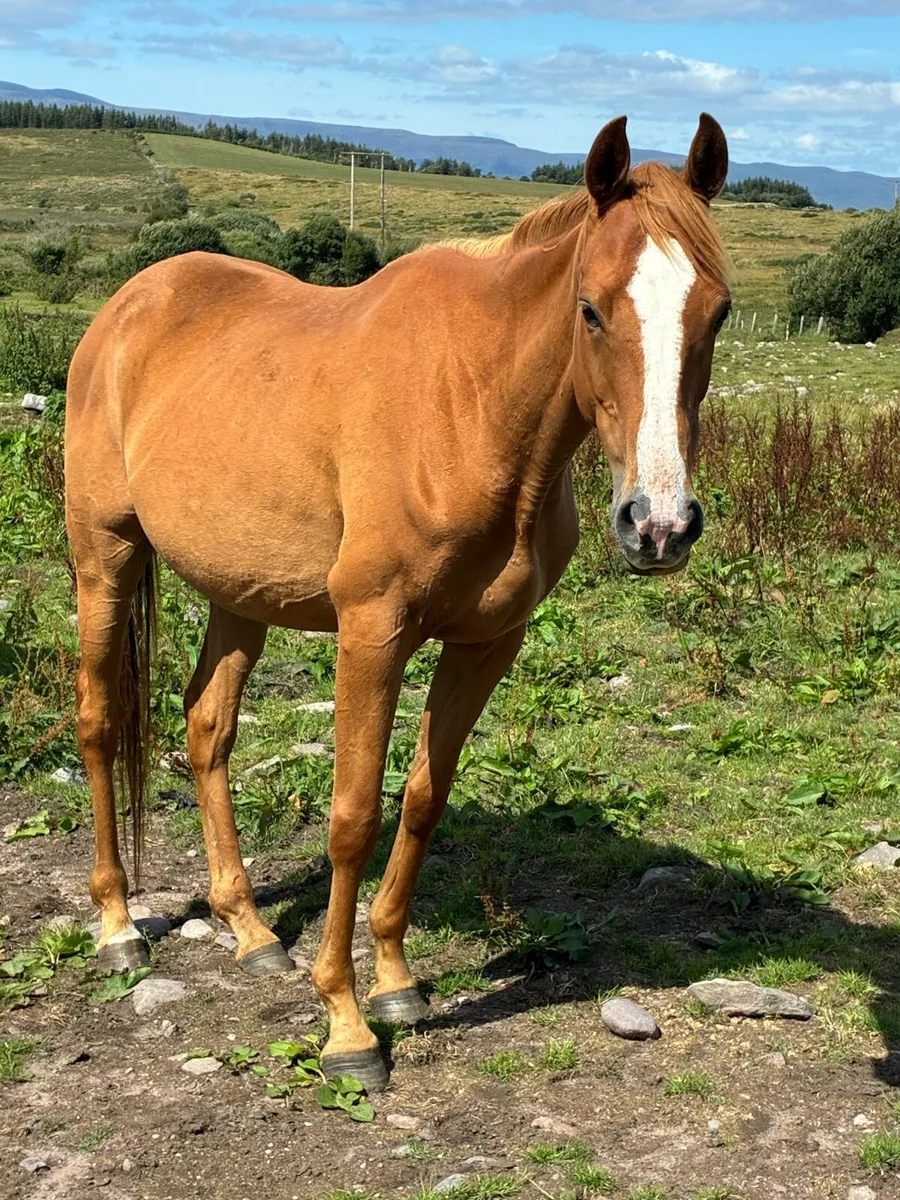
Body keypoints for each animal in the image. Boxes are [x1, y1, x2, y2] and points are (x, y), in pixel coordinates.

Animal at [65, 113, 731, 1088]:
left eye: (716, 312)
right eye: (592, 308)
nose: (659, 525)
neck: (474, 409)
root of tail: (129, 303)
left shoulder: (487, 644)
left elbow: (421, 800)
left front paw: (394, 983)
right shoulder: (371, 634)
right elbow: (353, 817)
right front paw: (344, 1023)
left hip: (240, 595)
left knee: (206, 727)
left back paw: (248, 928)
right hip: (104, 556)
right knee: (100, 723)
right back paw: (117, 926)